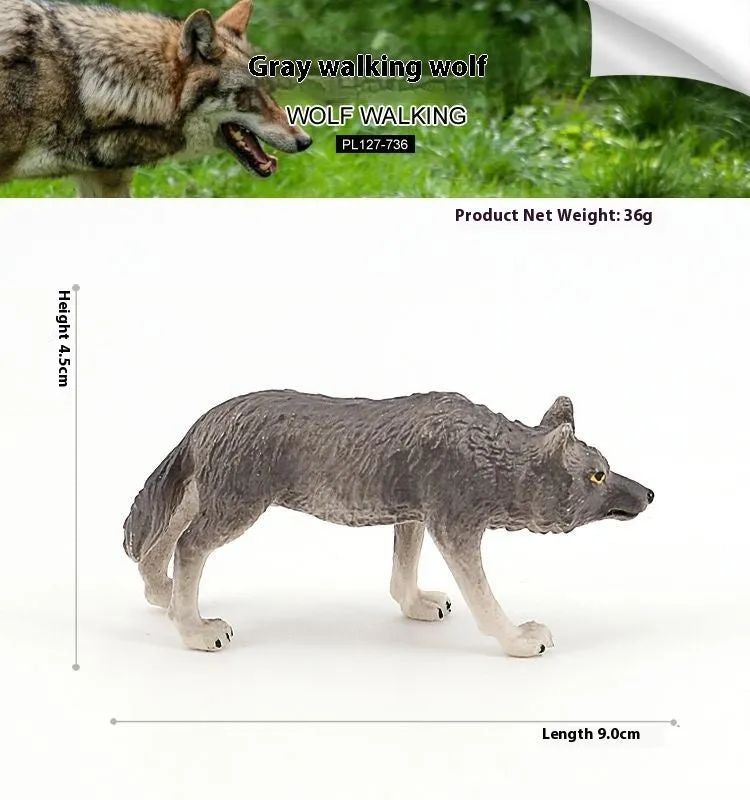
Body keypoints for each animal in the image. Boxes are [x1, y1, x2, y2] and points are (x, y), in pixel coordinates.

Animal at [124, 390, 654, 657]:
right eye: (598, 474)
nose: (649, 493)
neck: (493, 455)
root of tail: (205, 420)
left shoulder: (413, 515)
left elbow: (403, 574)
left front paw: (415, 605)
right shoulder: (455, 528)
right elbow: (485, 602)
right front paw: (518, 638)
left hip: (207, 497)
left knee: (161, 539)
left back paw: (161, 593)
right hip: (236, 509)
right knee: (188, 547)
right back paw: (192, 628)